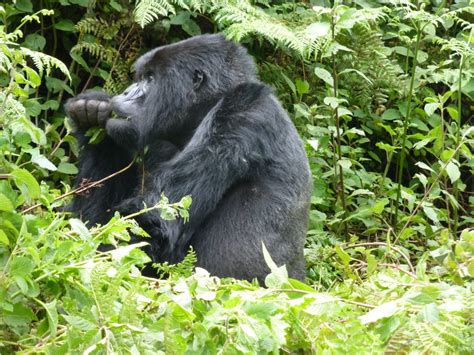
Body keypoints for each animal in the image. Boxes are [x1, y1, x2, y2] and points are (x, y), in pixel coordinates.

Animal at [66, 34, 312, 284]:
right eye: (141, 77)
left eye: (150, 79)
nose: (126, 93)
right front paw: (90, 114)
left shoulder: (240, 114)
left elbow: (153, 222)